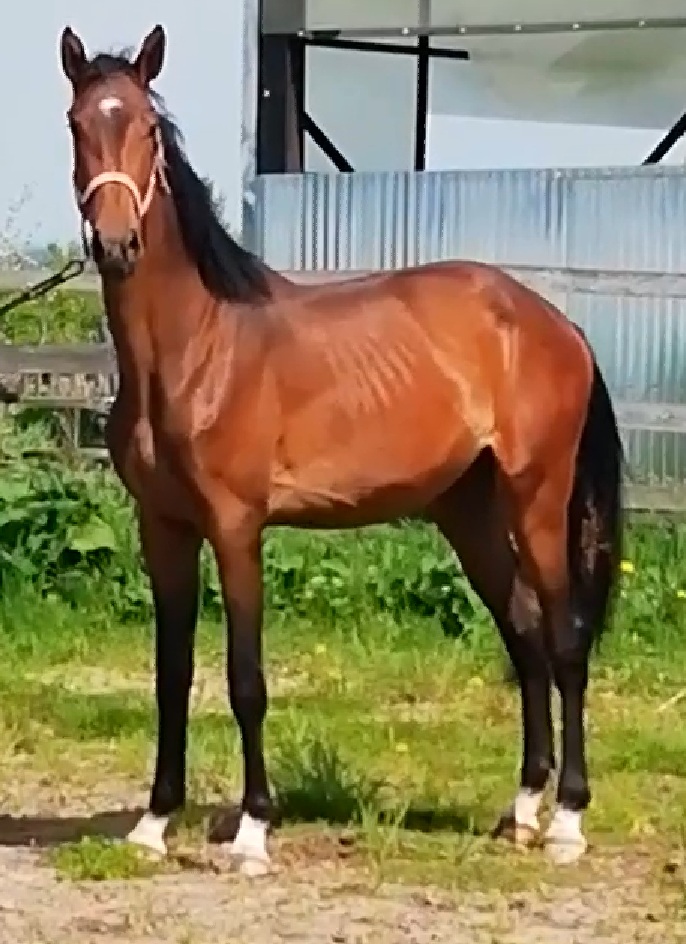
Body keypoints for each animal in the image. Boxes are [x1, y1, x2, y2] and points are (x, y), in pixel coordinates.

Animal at [59, 24, 623, 876]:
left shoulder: (236, 527)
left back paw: (566, 821)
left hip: (538, 500)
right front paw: (155, 823)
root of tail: (556, 324)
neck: (197, 349)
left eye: (150, 130)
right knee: (524, 634)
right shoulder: (163, 528)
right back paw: (522, 811)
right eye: (77, 124)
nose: (118, 243)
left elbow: (245, 677)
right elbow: (171, 672)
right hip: (469, 512)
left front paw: (253, 832)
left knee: (562, 641)